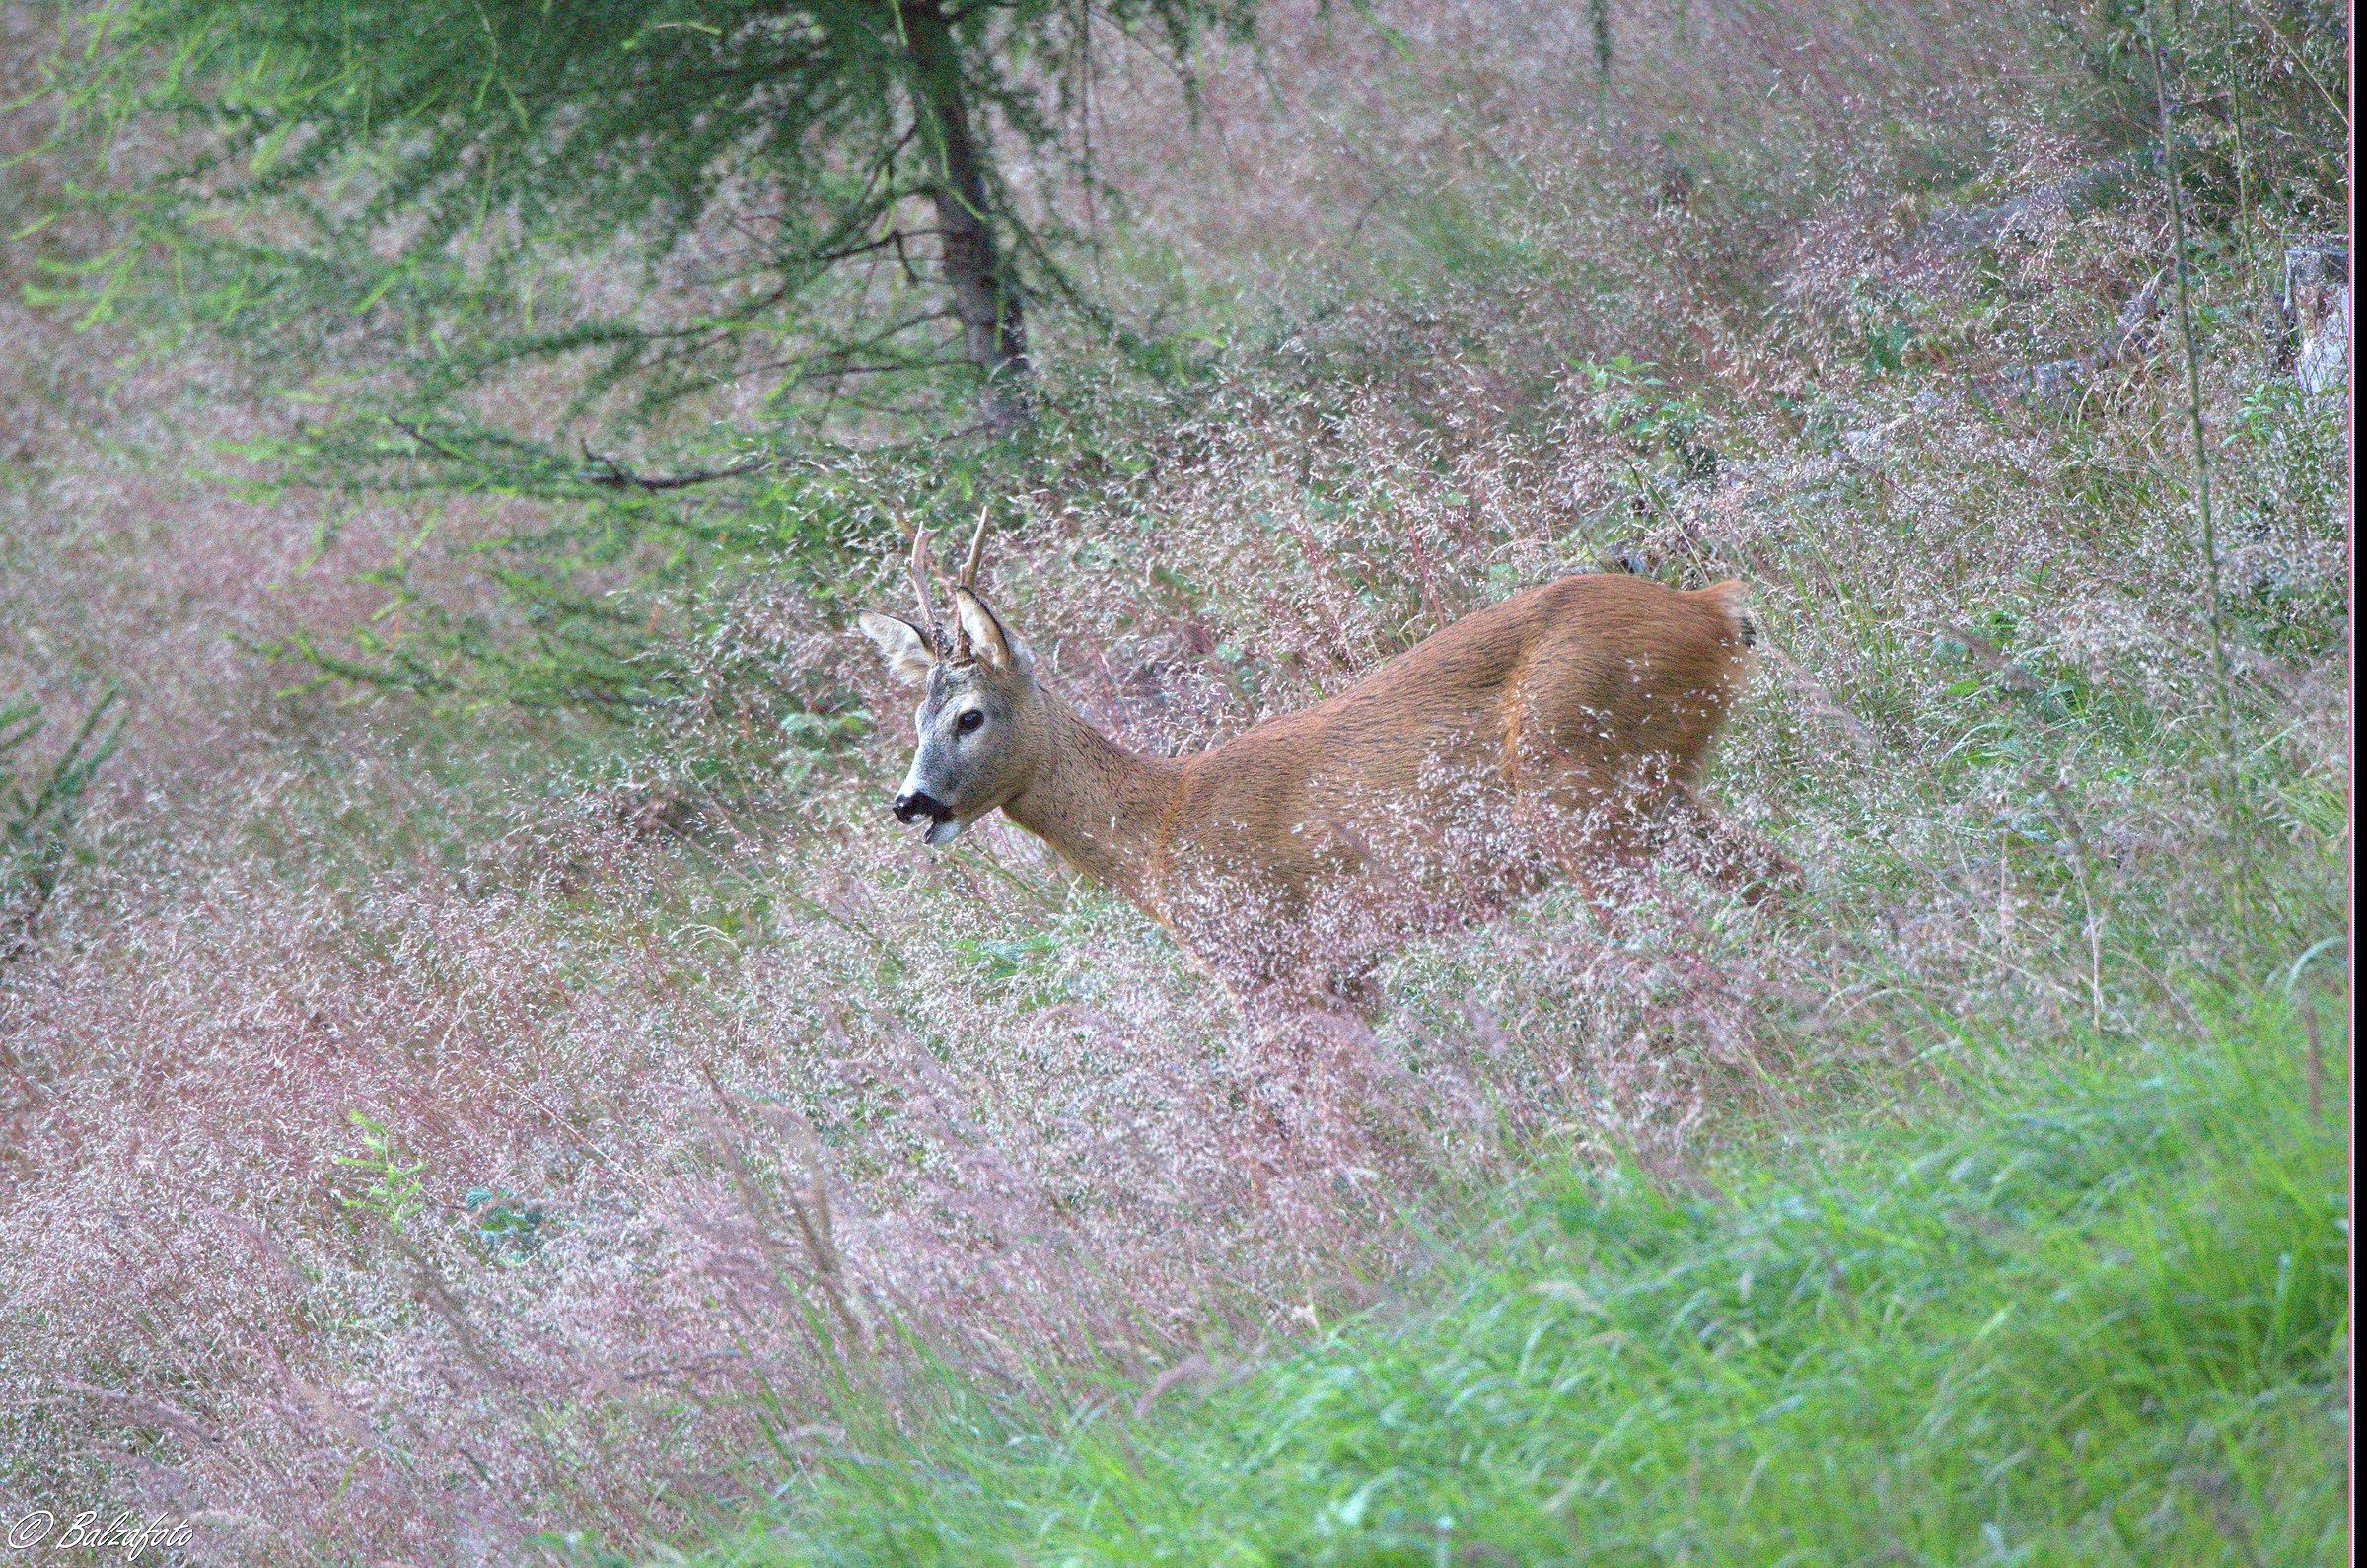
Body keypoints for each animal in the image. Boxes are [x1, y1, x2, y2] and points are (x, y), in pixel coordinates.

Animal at [858, 515, 1794, 1031]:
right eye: (916, 721)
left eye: (968, 717)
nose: (909, 803)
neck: (1161, 831)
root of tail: (1710, 610)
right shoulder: (1347, 970)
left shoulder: (1276, 966)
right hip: (1650, 791)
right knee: (1777, 873)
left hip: (1581, 792)